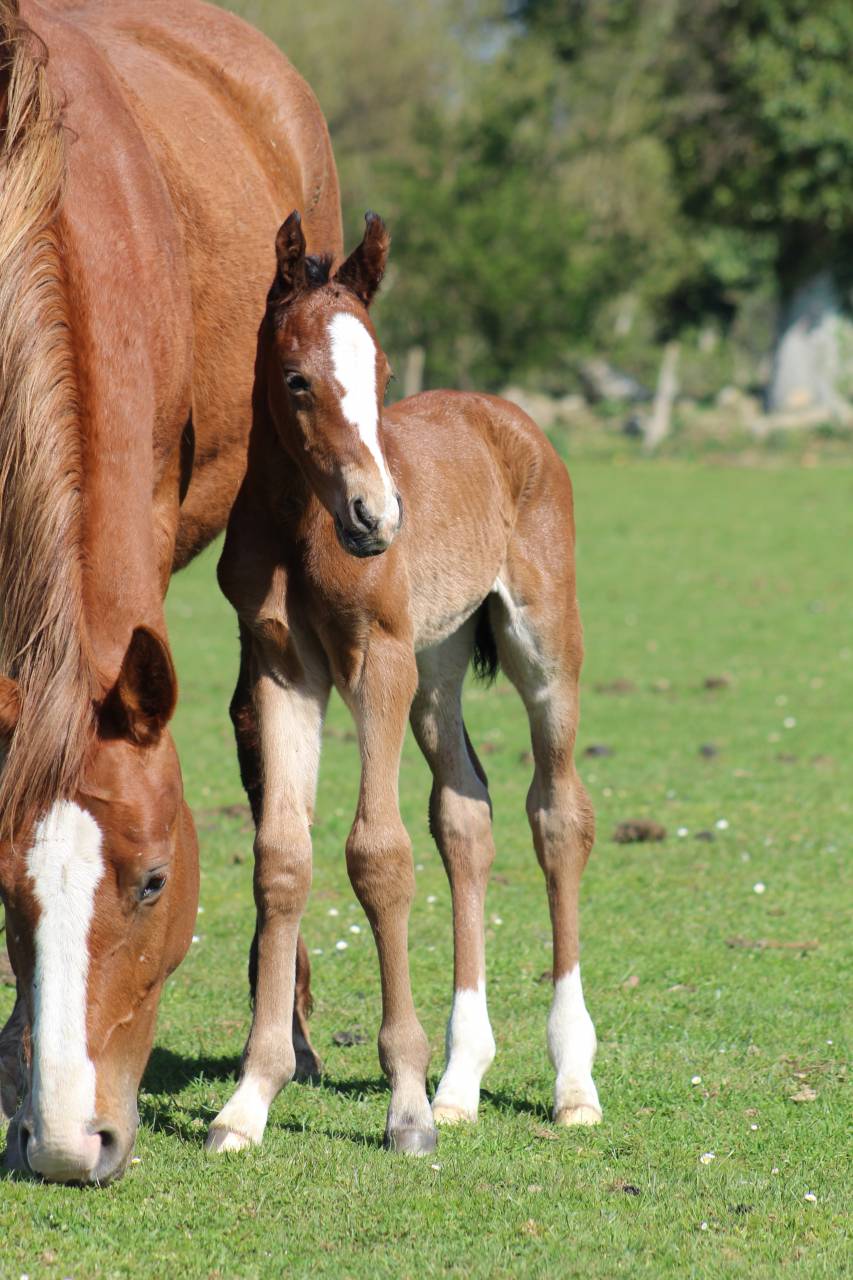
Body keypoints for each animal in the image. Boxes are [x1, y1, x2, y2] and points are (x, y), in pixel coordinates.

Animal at [209, 210, 601, 1156]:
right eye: (296, 379)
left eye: (382, 374)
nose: (377, 518)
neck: (300, 526)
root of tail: (507, 415)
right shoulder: (283, 668)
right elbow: (283, 858)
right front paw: (249, 1098)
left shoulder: (375, 659)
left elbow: (377, 854)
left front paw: (406, 1106)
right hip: (438, 669)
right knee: (465, 816)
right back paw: (461, 1082)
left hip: (542, 649)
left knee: (558, 815)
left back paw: (571, 1083)